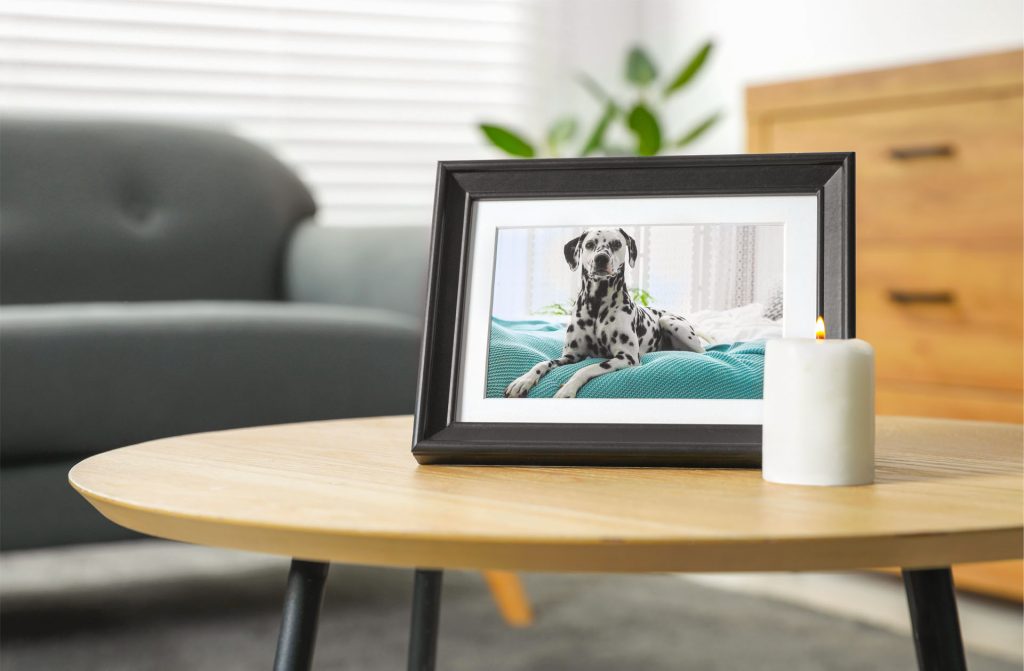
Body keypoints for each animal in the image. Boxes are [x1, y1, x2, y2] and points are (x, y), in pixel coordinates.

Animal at [503, 229, 704, 399]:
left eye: (616, 243)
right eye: (590, 244)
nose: (601, 258)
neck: (597, 304)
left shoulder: (627, 357)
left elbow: (586, 369)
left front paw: (567, 389)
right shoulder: (571, 356)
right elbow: (543, 363)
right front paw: (523, 380)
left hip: (670, 322)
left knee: (702, 352)